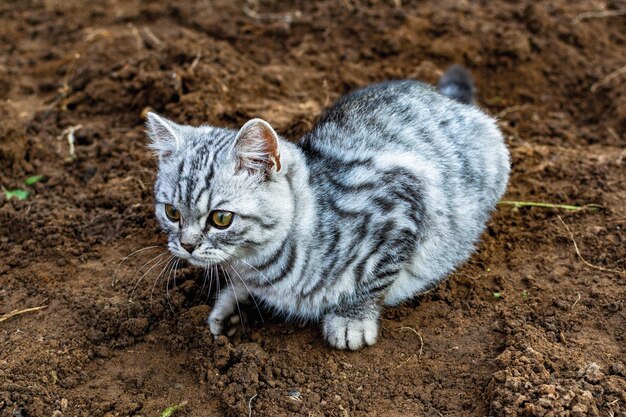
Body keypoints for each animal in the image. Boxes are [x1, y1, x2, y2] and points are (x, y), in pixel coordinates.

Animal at [145, 65, 508, 350]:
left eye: (221, 218)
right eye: (172, 213)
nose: (187, 245)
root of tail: (444, 98)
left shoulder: (403, 201)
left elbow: (374, 276)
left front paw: (352, 319)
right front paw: (232, 306)